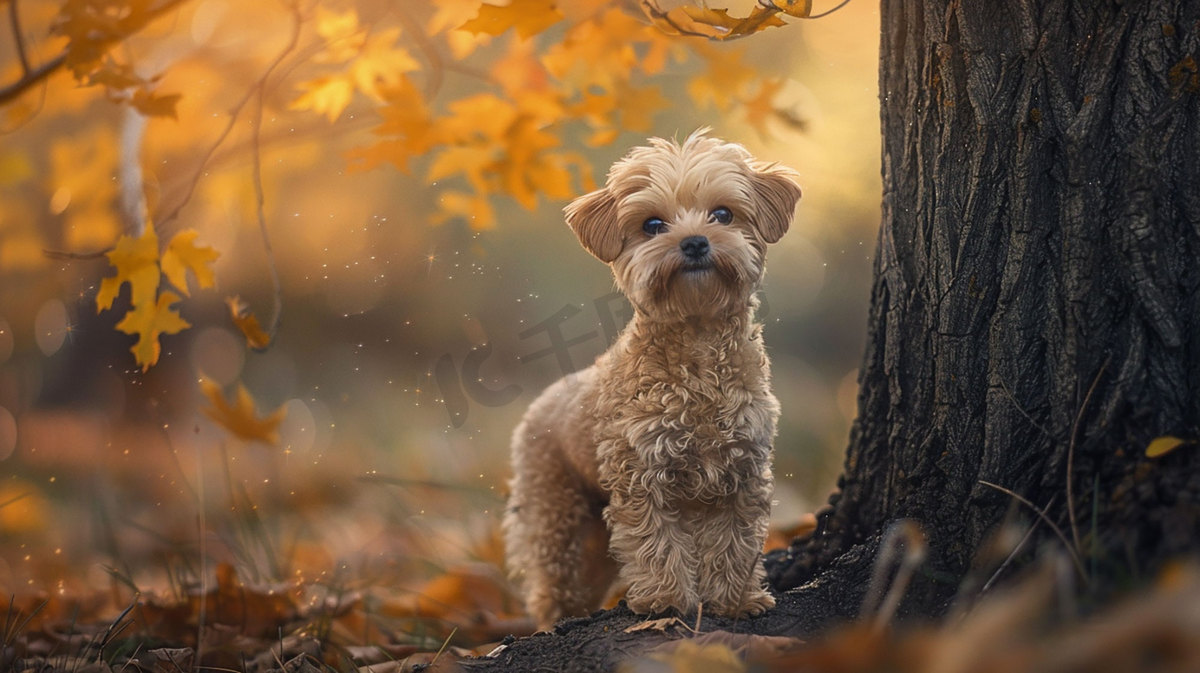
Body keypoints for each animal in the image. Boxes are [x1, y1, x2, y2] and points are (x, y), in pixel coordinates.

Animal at [501, 131, 801, 628]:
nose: (695, 242)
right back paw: (553, 620)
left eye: (723, 214)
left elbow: (736, 542)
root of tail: (547, 396)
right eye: (653, 224)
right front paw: (666, 601)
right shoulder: (642, 474)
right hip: (554, 514)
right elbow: (655, 543)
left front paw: (737, 600)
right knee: (551, 580)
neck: (698, 348)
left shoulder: (742, 471)